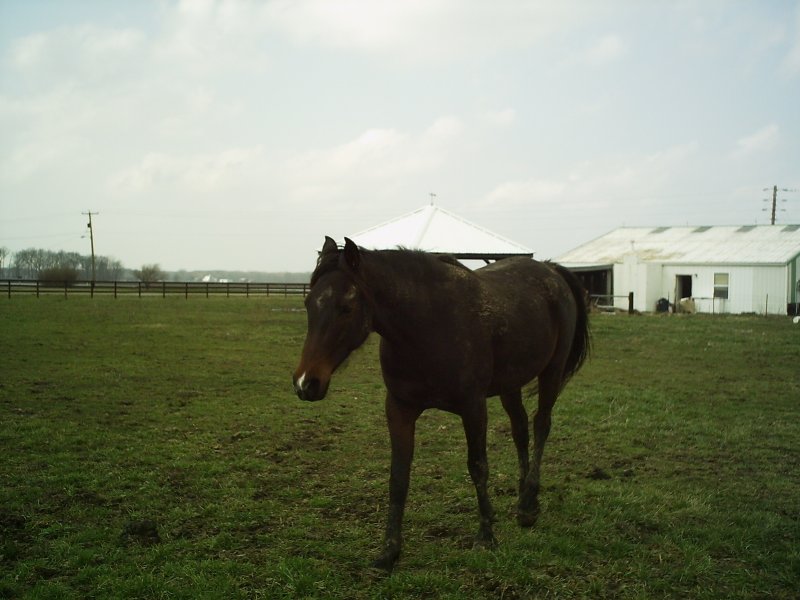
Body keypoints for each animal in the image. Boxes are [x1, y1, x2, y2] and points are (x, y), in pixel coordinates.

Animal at [293, 237, 590, 570]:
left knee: (541, 425)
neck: (429, 325)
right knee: (520, 430)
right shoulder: (399, 409)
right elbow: (398, 476)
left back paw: (528, 504)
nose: (306, 383)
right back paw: (523, 501)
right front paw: (389, 551)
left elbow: (478, 466)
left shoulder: (473, 408)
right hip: (510, 384)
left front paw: (486, 536)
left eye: (346, 307)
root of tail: (550, 269)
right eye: (308, 304)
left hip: (552, 371)